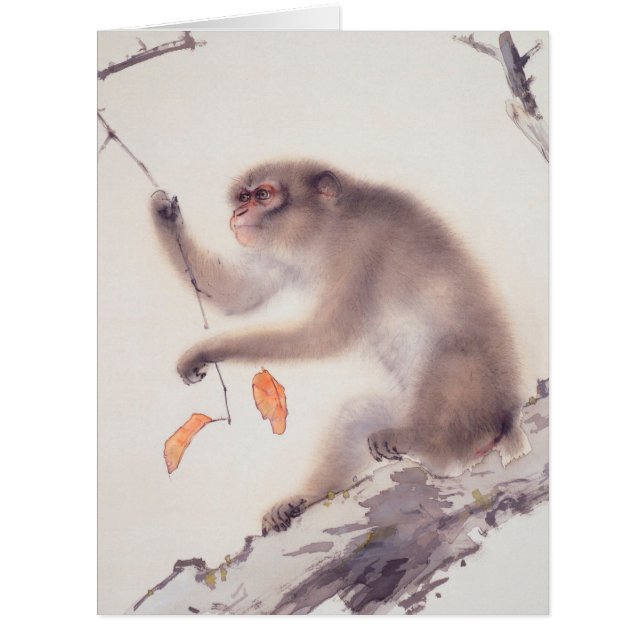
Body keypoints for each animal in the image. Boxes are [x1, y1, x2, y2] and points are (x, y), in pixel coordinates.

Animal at [150, 159, 530, 534]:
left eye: (263, 195)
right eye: (244, 196)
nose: (239, 213)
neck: (328, 229)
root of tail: (508, 419)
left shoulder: (363, 249)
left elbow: (325, 336)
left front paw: (207, 349)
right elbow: (237, 295)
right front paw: (164, 215)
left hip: (477, 404)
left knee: (452, 354)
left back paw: (426, 442)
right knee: (358, 415)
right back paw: (305, 500)